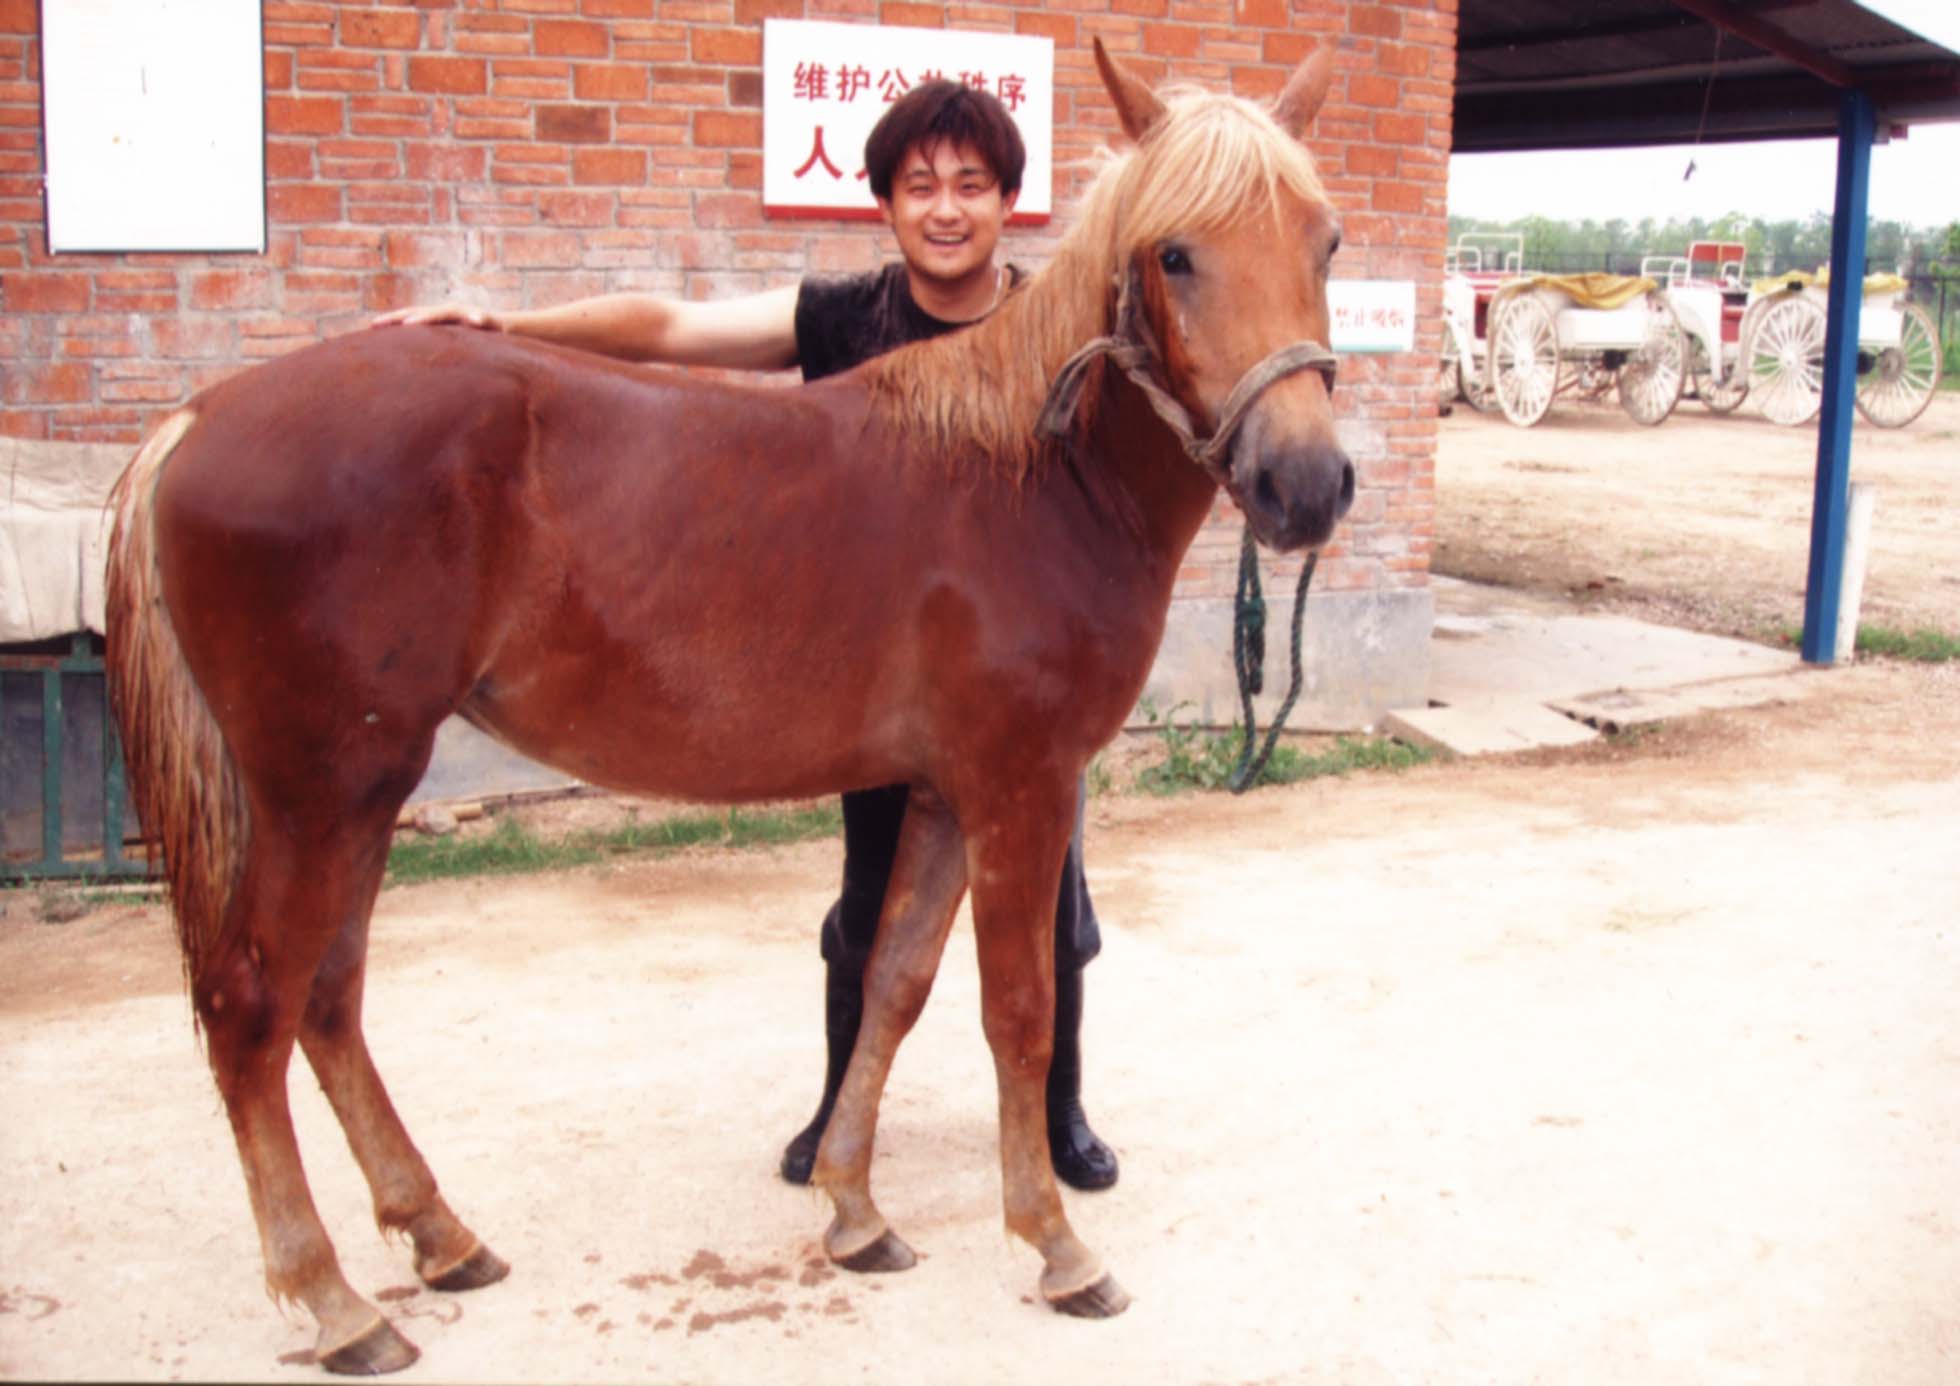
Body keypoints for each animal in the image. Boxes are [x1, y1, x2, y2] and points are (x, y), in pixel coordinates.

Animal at [103, 37, 1348, 1372]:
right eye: (1174, 253)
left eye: (1324, 242)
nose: (1306, 484)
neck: (1028, 475)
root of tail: (197, 419)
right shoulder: (1019, 787)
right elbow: (1013, 1009)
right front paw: (1057, 1249)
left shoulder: (946, 793)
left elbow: (893, 985)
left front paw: (854, 1212)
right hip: (324, 793)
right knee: (253, 1010)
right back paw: (336, 1303)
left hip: (355, 798)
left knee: (329, 1003)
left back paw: (440, 1237)